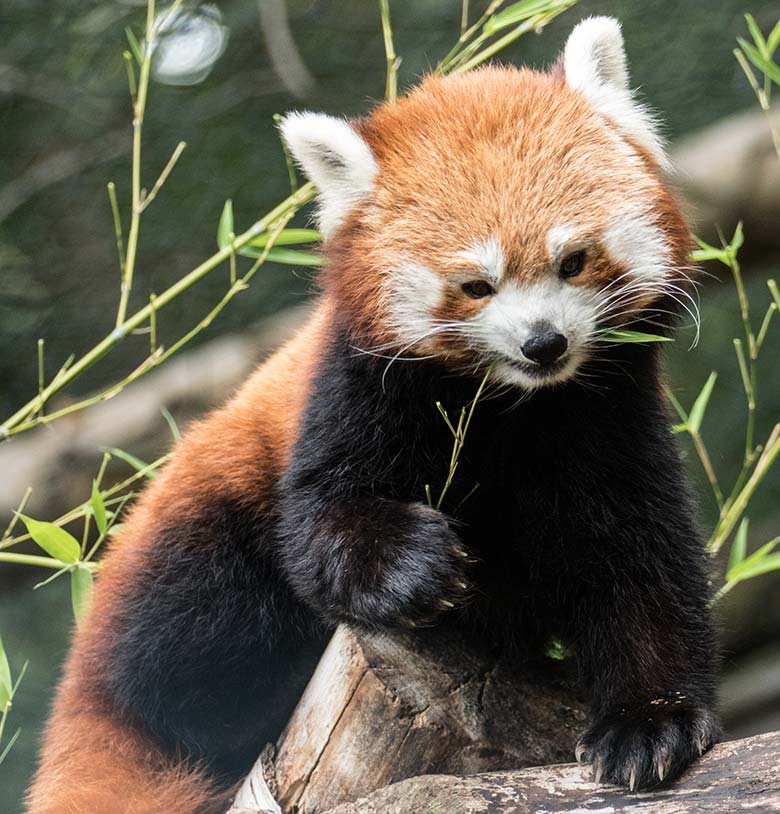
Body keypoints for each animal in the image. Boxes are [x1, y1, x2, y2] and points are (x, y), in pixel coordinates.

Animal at [25, 15, 720, 812]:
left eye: (573, 261)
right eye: (476, 286)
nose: (544, 343)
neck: (512, 408)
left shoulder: (606, 418)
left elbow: (639, 564)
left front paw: (650, 722)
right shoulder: (353, 394)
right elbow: (318, 526)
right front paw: (413, 566)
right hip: (192, 537)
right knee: (192, 646)